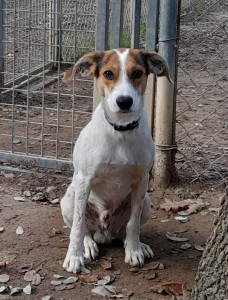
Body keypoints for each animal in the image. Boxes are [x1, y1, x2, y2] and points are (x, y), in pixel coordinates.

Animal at [60, 48, 171, 274]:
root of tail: (104, 233)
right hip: (69, 198)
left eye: (137, 73)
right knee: (83, 228)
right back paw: (87, 245)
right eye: (108, 74)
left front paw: (134, 250)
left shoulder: (142, 180)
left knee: (123, 230)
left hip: (147, 202)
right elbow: (77, 226)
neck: (121, 131)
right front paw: (74, 257)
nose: (124, 101)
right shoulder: (84, 180)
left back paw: (135, 244)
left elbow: (133, 223)